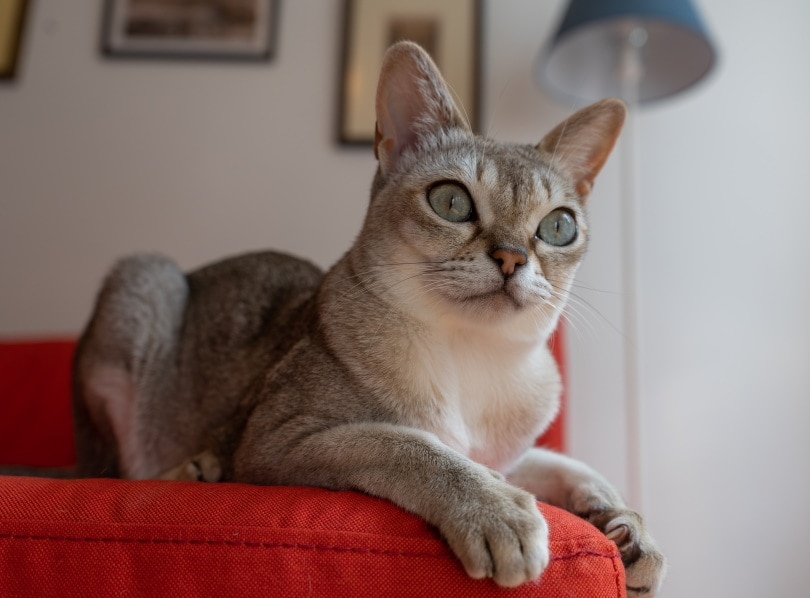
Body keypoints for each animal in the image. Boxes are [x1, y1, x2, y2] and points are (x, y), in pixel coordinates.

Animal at [71, 42, 664, 596]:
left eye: (559, 227)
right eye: (451, 202)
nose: (513, 257)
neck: (471, 359)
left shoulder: (508, 453)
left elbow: (567, 465)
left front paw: (626, 526)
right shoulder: (278, 438)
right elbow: (411, 446)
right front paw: (498, 511)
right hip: (145, 281)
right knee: (120, 469)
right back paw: (192, 471)